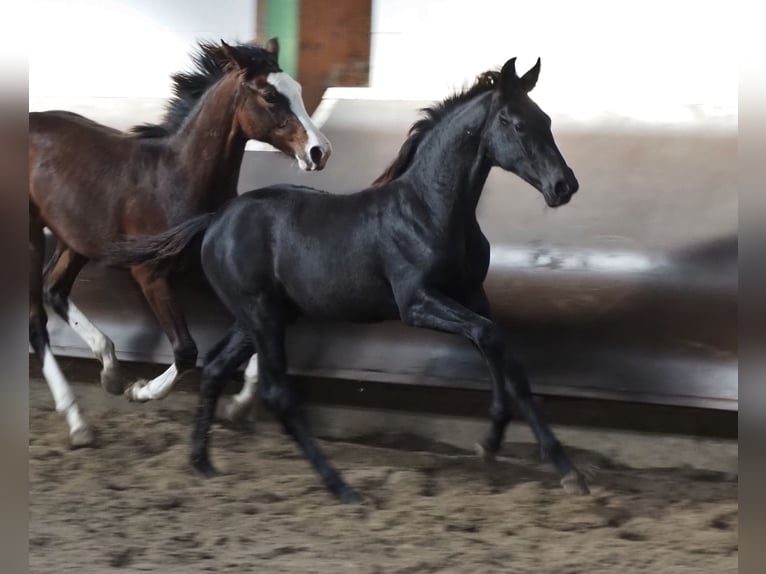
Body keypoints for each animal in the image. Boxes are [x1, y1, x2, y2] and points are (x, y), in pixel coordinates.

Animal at [30, 38, 332, 448]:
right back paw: (79, 422)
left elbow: (258, 329)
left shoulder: (204, 271)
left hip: (74, 239)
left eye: (298, 90)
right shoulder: (150, 273)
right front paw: (140, 390)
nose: (320, 151)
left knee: (54, 290)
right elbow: (187, 351)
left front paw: (238, 405)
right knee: (37, 323)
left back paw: (109, 370)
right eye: (270, 95)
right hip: (32, 236)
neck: (176, 177)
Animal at [106, 56, 588, 502]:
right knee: (276, 393)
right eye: (516, 124)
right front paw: (504, 446)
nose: (564, 186)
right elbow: (488, 337)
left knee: (216, 367)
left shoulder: (473, 294)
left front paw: (547, 462)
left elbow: (506, 359)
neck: (430, 209)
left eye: (546, 120)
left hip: (260, 316)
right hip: (262, 315)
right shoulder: (416, 302)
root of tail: (214, 219)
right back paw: (340, 486)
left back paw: (202, 462)